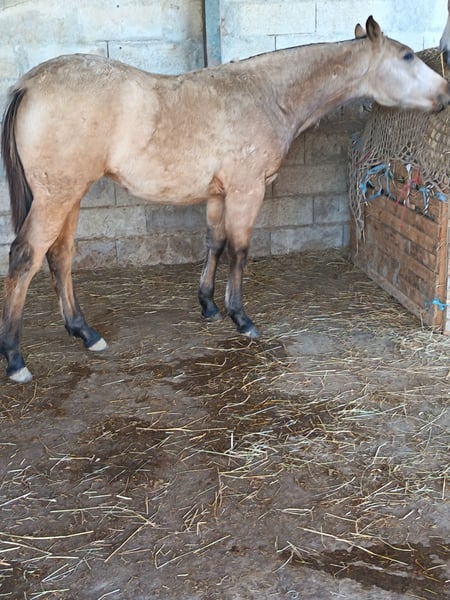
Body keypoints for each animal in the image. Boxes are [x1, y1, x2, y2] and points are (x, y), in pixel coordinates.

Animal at [1, 16, 449, 383]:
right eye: (407, 56)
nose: (446, 91)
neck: (268, 96)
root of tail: (30, 83)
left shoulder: (219, 194)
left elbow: (214, 244)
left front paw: (208, 306)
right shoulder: (246, 190)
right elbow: (239, 250)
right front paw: (241, 318)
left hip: (70, 196)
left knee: (60, 257)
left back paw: (84, 331)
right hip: (56, 197)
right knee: (26, 257)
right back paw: (16, 358)